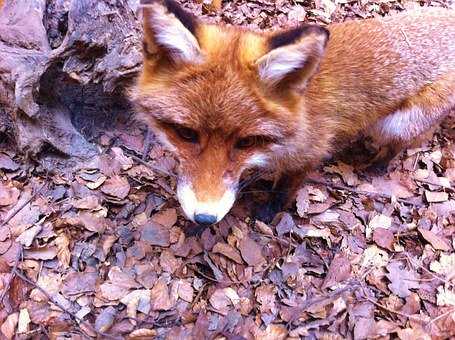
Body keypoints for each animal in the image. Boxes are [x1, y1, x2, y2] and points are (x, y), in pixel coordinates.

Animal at [130, 0, 454, 227]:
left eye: (246, 142)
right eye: (186, 134)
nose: (205, 218)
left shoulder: (310, 153)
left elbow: (284, 189)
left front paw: (268, 211)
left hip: (395, 124)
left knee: (402, 142)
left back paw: (377, 165)